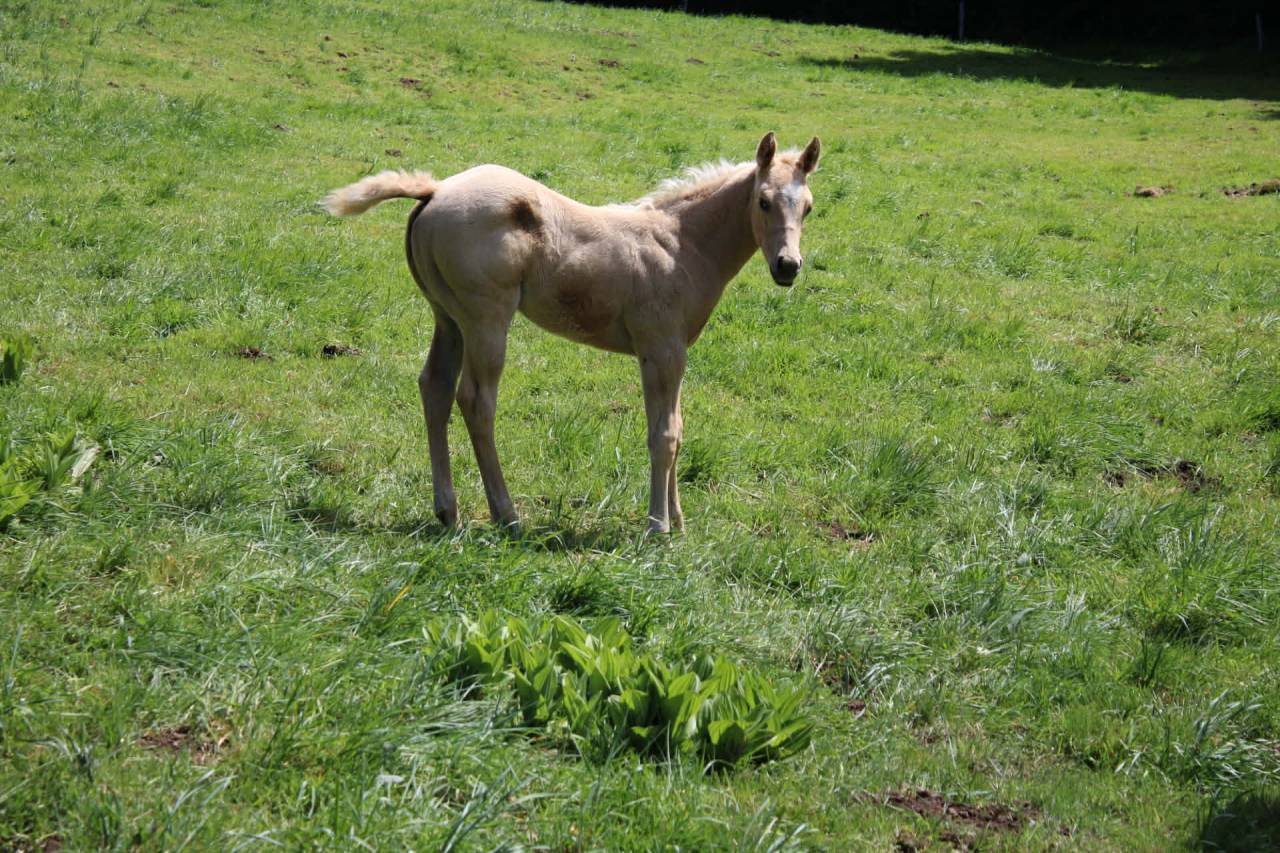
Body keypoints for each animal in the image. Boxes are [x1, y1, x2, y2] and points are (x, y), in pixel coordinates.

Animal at [324, 131, 820, 533]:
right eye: (763, 201)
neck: (682, 244)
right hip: (487, 320)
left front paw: (678, 520)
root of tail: (436, 189)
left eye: (809, 207)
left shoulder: (675, 352)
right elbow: (663, 435)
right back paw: (507, 515)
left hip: (447, 317)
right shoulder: (661, 350)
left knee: (435, 388)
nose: (787, 266)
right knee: (476, 401)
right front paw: (657, 526)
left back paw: (448, 511)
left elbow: (677, 430)